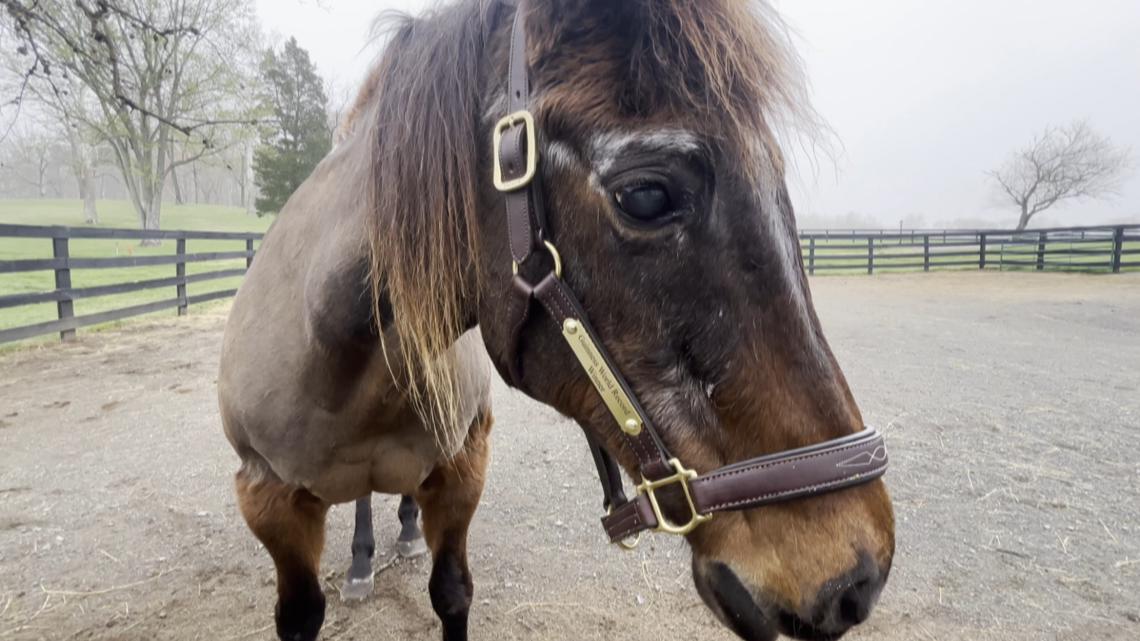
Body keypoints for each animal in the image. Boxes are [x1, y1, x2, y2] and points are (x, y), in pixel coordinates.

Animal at [217, 1, 895, 640]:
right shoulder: (267, 502)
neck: (335, 353)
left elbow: (451, 592)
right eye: (645, 195)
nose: (858, 577)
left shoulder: (464, 468)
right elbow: (302, 613)